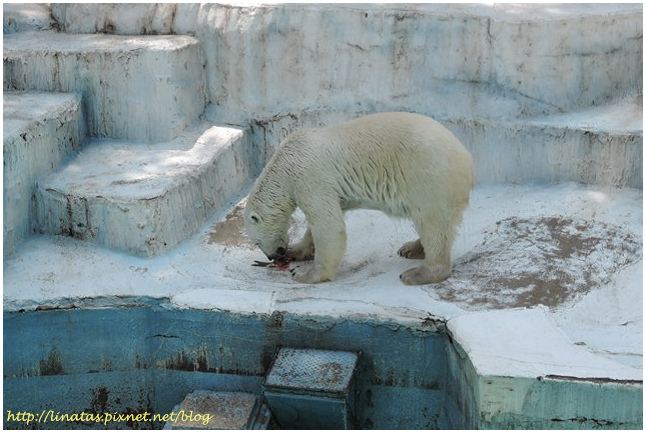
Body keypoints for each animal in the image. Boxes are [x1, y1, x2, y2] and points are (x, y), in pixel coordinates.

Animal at [246, 112, 474, 284]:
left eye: (256, 241)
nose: (273, 256)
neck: (284, 165)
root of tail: (466, 159)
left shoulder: (309, 177)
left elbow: (328, 224)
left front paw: (305, 273)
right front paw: (296, 250)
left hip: (429, 176)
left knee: (432, 223)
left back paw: (418, 273)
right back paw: (410, 248)